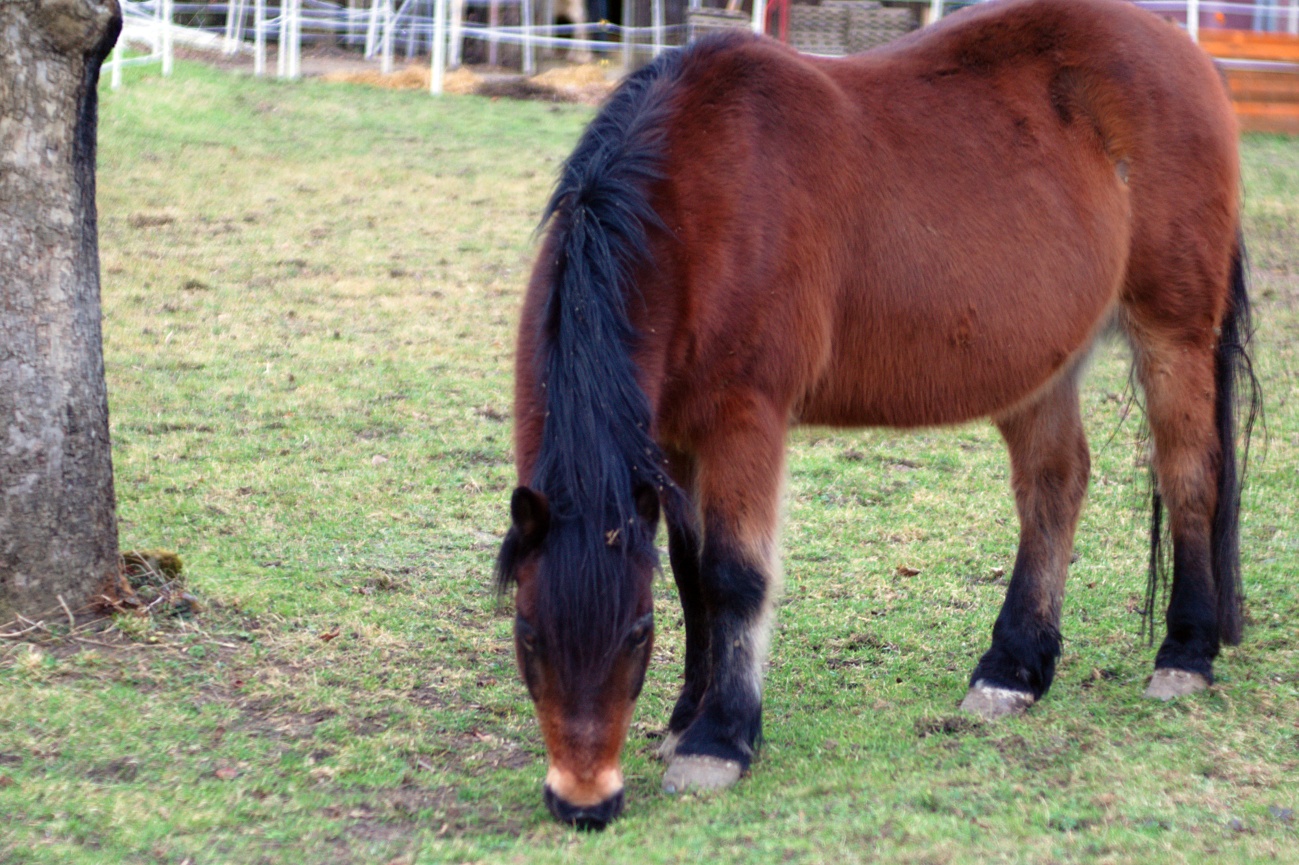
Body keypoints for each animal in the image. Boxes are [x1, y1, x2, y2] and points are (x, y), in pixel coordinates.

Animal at [493, 0, 1257, 826]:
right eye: (527, 632)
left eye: (636, 634)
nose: (583, 801)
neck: (693, 210)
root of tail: (1180, 50)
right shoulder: (672, 438)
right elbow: (692, 574)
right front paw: (683, 716)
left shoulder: (744, 420)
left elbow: (733, 575)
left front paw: (719, 738)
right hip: (1043, 363)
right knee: (1055, 486)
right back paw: (1012, 668)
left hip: (1172, 333)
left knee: (1188, 478)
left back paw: (1184, 652)